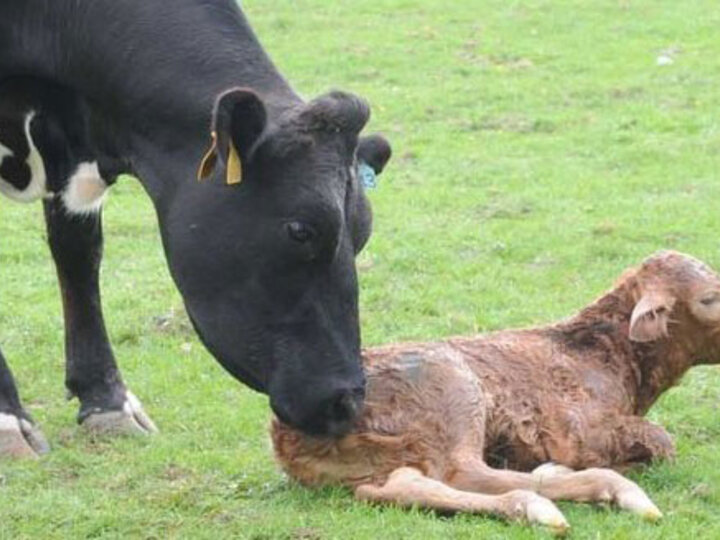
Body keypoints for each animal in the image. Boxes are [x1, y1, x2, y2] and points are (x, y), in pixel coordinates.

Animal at [0, 0, 390, 458]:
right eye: (300, 229)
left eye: (362, 232)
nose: (346, 401)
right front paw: (8, 417)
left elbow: (78, 253)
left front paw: (106, 401)